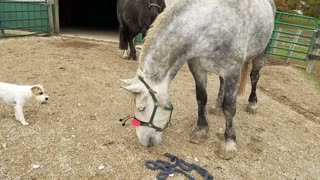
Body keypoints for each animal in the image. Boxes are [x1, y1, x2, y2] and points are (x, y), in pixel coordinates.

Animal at [121, 0, 276, 160]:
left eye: (141, 108)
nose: (144, 140)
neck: (210, 23)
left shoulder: (232, 71)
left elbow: (229, 107)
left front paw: (229, 143)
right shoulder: (197, 67)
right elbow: (201, 98)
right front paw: (201, 130)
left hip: (260, 54)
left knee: (254, 77)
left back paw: (252, 103)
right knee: (221, 82)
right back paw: (217, 106)